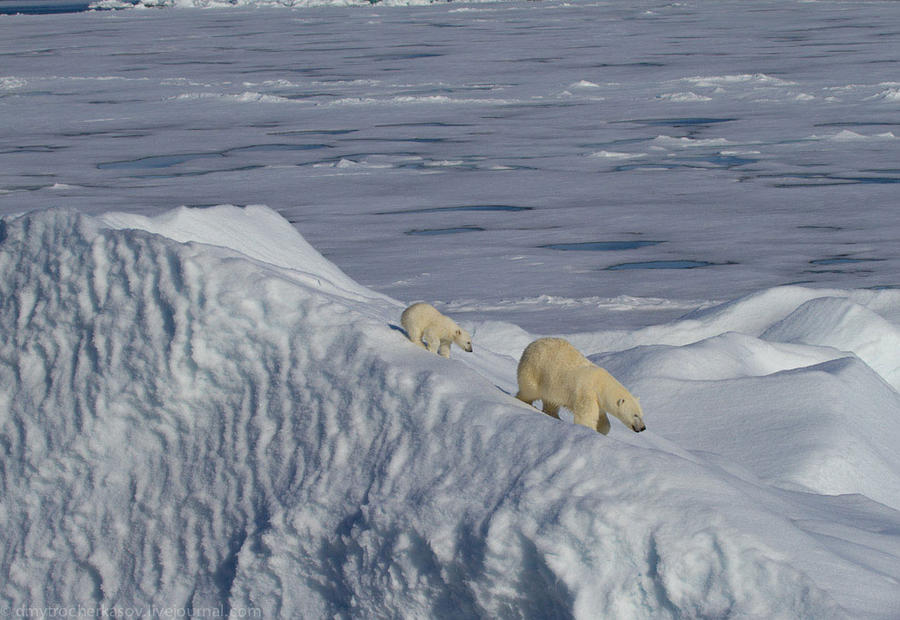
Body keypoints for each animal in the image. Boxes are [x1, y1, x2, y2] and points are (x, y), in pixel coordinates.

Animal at [512, 336, 648, 434]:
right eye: (635, 414)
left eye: (642, 414)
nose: (643, 428)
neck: (601, 384)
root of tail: (532, 344)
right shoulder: (587, 393)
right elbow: (585, 417)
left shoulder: (598, 401)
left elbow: (603, 420)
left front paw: (601, 430)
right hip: (535, 369)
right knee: (529, 391)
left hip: (551, 383)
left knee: (551, 401)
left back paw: (554, 416)